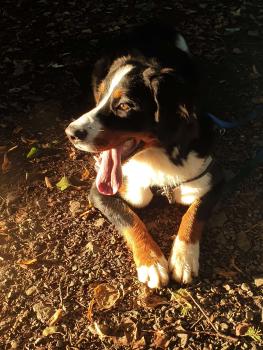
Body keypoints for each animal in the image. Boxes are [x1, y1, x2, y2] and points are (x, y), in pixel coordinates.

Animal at [65, 23, 225, 288]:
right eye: (103, 98)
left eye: (124, 106)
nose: (70, 133)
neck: (159, 156)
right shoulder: (100, 191)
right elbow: (129, 219)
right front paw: (151, 262)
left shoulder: (212, 179)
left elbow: (194, 215)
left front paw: (183, 258)